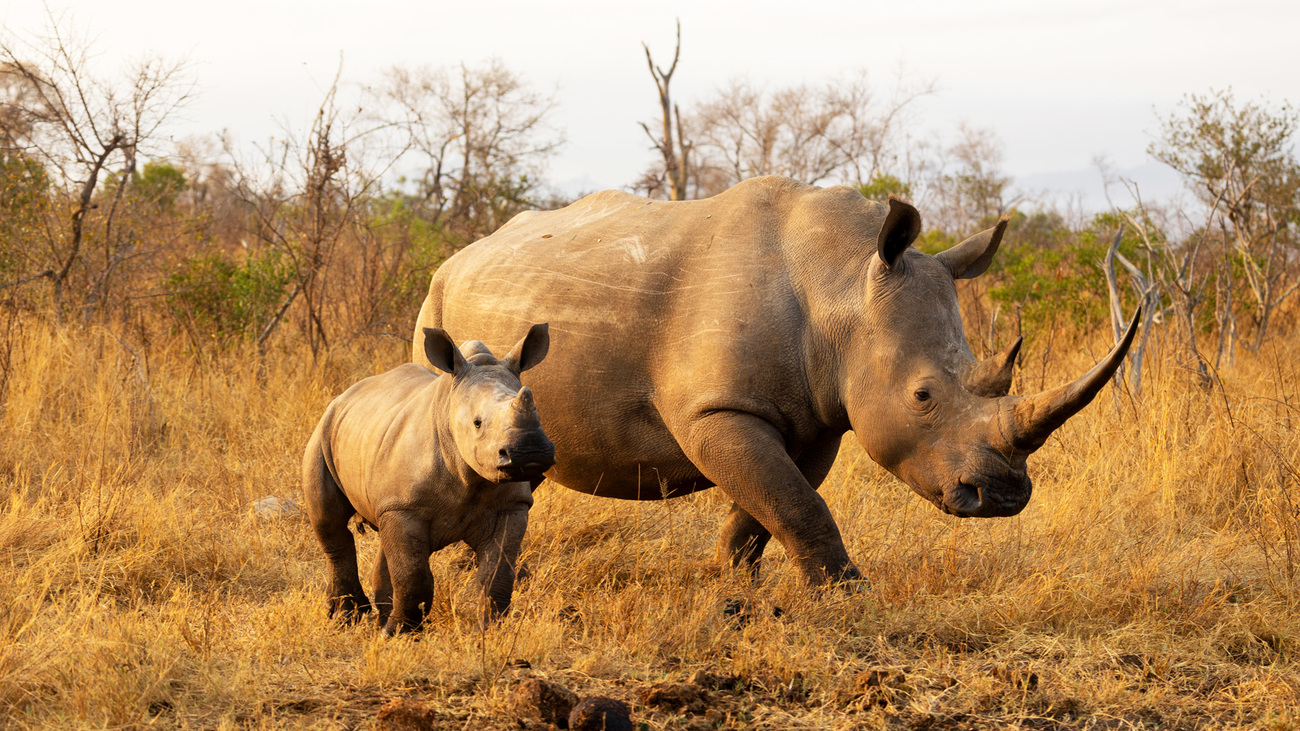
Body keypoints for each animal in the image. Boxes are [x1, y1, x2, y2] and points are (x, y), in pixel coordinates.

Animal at [302, 321, 553, 629]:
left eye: (539, 414)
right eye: (477, 423)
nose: (530, 452)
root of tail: (345, 395)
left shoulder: (511, 505)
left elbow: (497, 572)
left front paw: (490, 628)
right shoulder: (404, 506)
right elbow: (413, 575)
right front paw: (400, 632)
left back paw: (378, 616)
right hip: (323, 432)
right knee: (331, 524)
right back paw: (347, 617)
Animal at [410, 175, 1133, 580]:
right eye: (923, 396)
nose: (1004, 496)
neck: (842, 279)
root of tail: (459, 255)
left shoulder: (816, 416)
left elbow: (772, 506)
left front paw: (729, 584)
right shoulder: (717, 410)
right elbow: (796, 504)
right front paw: (847, 600)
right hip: (434, 308)